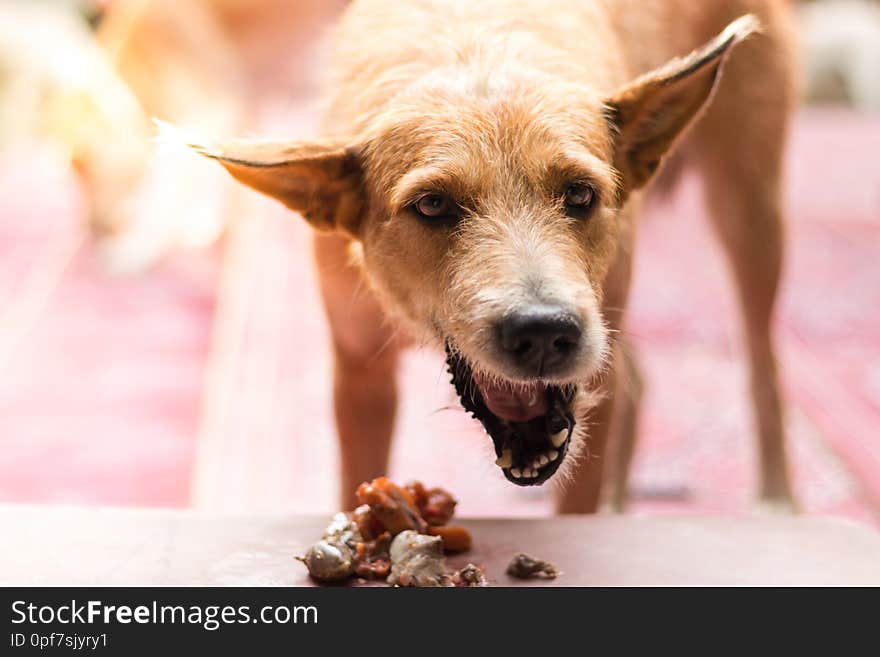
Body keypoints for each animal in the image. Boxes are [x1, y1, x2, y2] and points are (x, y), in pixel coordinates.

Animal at [187, 0, 796, 512]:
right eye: (432, 205)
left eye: (580, 194)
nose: (544, 333)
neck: (474, 49)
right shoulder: (361, 377)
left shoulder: (594, 370)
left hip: (747, 212)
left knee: (763, 371)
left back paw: (777, 500)